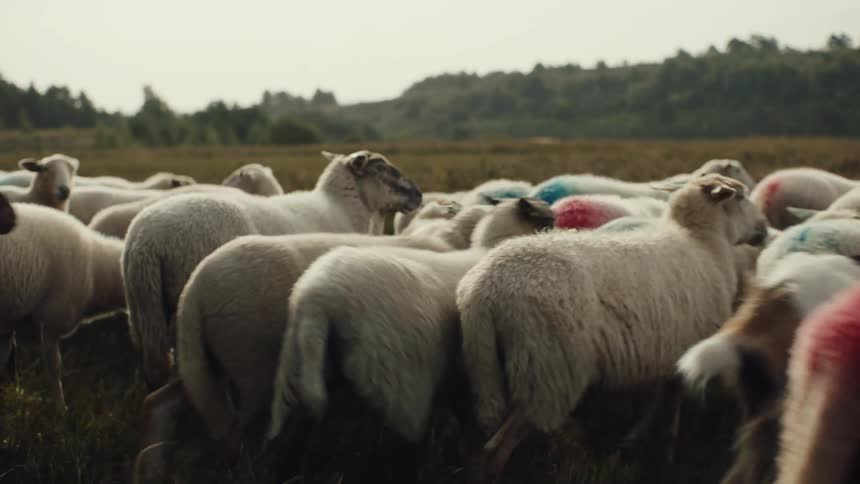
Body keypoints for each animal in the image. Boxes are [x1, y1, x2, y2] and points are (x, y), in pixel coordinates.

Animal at [0, 203, 125, 411]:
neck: (95, 272)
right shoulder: (52, 319)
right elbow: (54, 367)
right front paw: (60, 409)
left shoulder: (10, 319)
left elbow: (3, 357)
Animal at [123, 150, 422, 389]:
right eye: (382, 168)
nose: (419, 195)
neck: (344, 209)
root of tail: (145, 242)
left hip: (144, 311)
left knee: (154, 365)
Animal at [455, 174, 767, 481]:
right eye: (740, 196)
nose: (764, 229)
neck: (702, 243)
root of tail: (485, 288)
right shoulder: (683, 351)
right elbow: (670, 406)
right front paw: (666, 455)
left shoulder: (662, 353)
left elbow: (655, 401)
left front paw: (635, 440)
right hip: (547, 371)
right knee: (496, 448)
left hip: (485, 364)